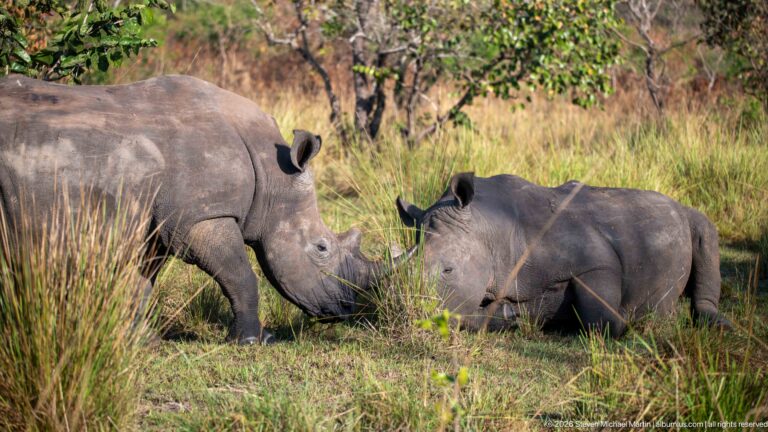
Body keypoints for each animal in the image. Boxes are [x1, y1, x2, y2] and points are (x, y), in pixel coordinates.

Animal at [0, 74, 398, 344]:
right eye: (321, 248)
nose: (346, 310)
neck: (273, 176)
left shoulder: (157, 223)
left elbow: (141, 283)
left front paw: (142, 341)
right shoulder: (200, 217)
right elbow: (239, 274)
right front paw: (254, 340)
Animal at [396, 172, 730, 336]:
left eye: (448, 271)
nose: (416, 315)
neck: (489, 227)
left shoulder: (596, 262)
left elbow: (602, 320)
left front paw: (628, 321)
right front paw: (512, 315)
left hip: (684, 217)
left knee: (705, 230)